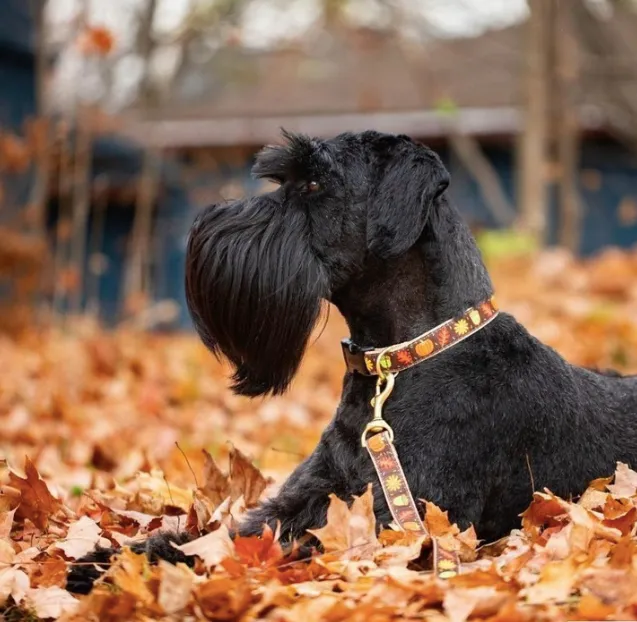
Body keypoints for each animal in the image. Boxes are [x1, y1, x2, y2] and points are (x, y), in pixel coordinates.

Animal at [67, 130, 636, 596]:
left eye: (316, 183)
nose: (202, 229)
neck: (399, 362)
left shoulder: (402, 523)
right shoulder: (305, 497)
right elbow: (224, 534)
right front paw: (108, 557)